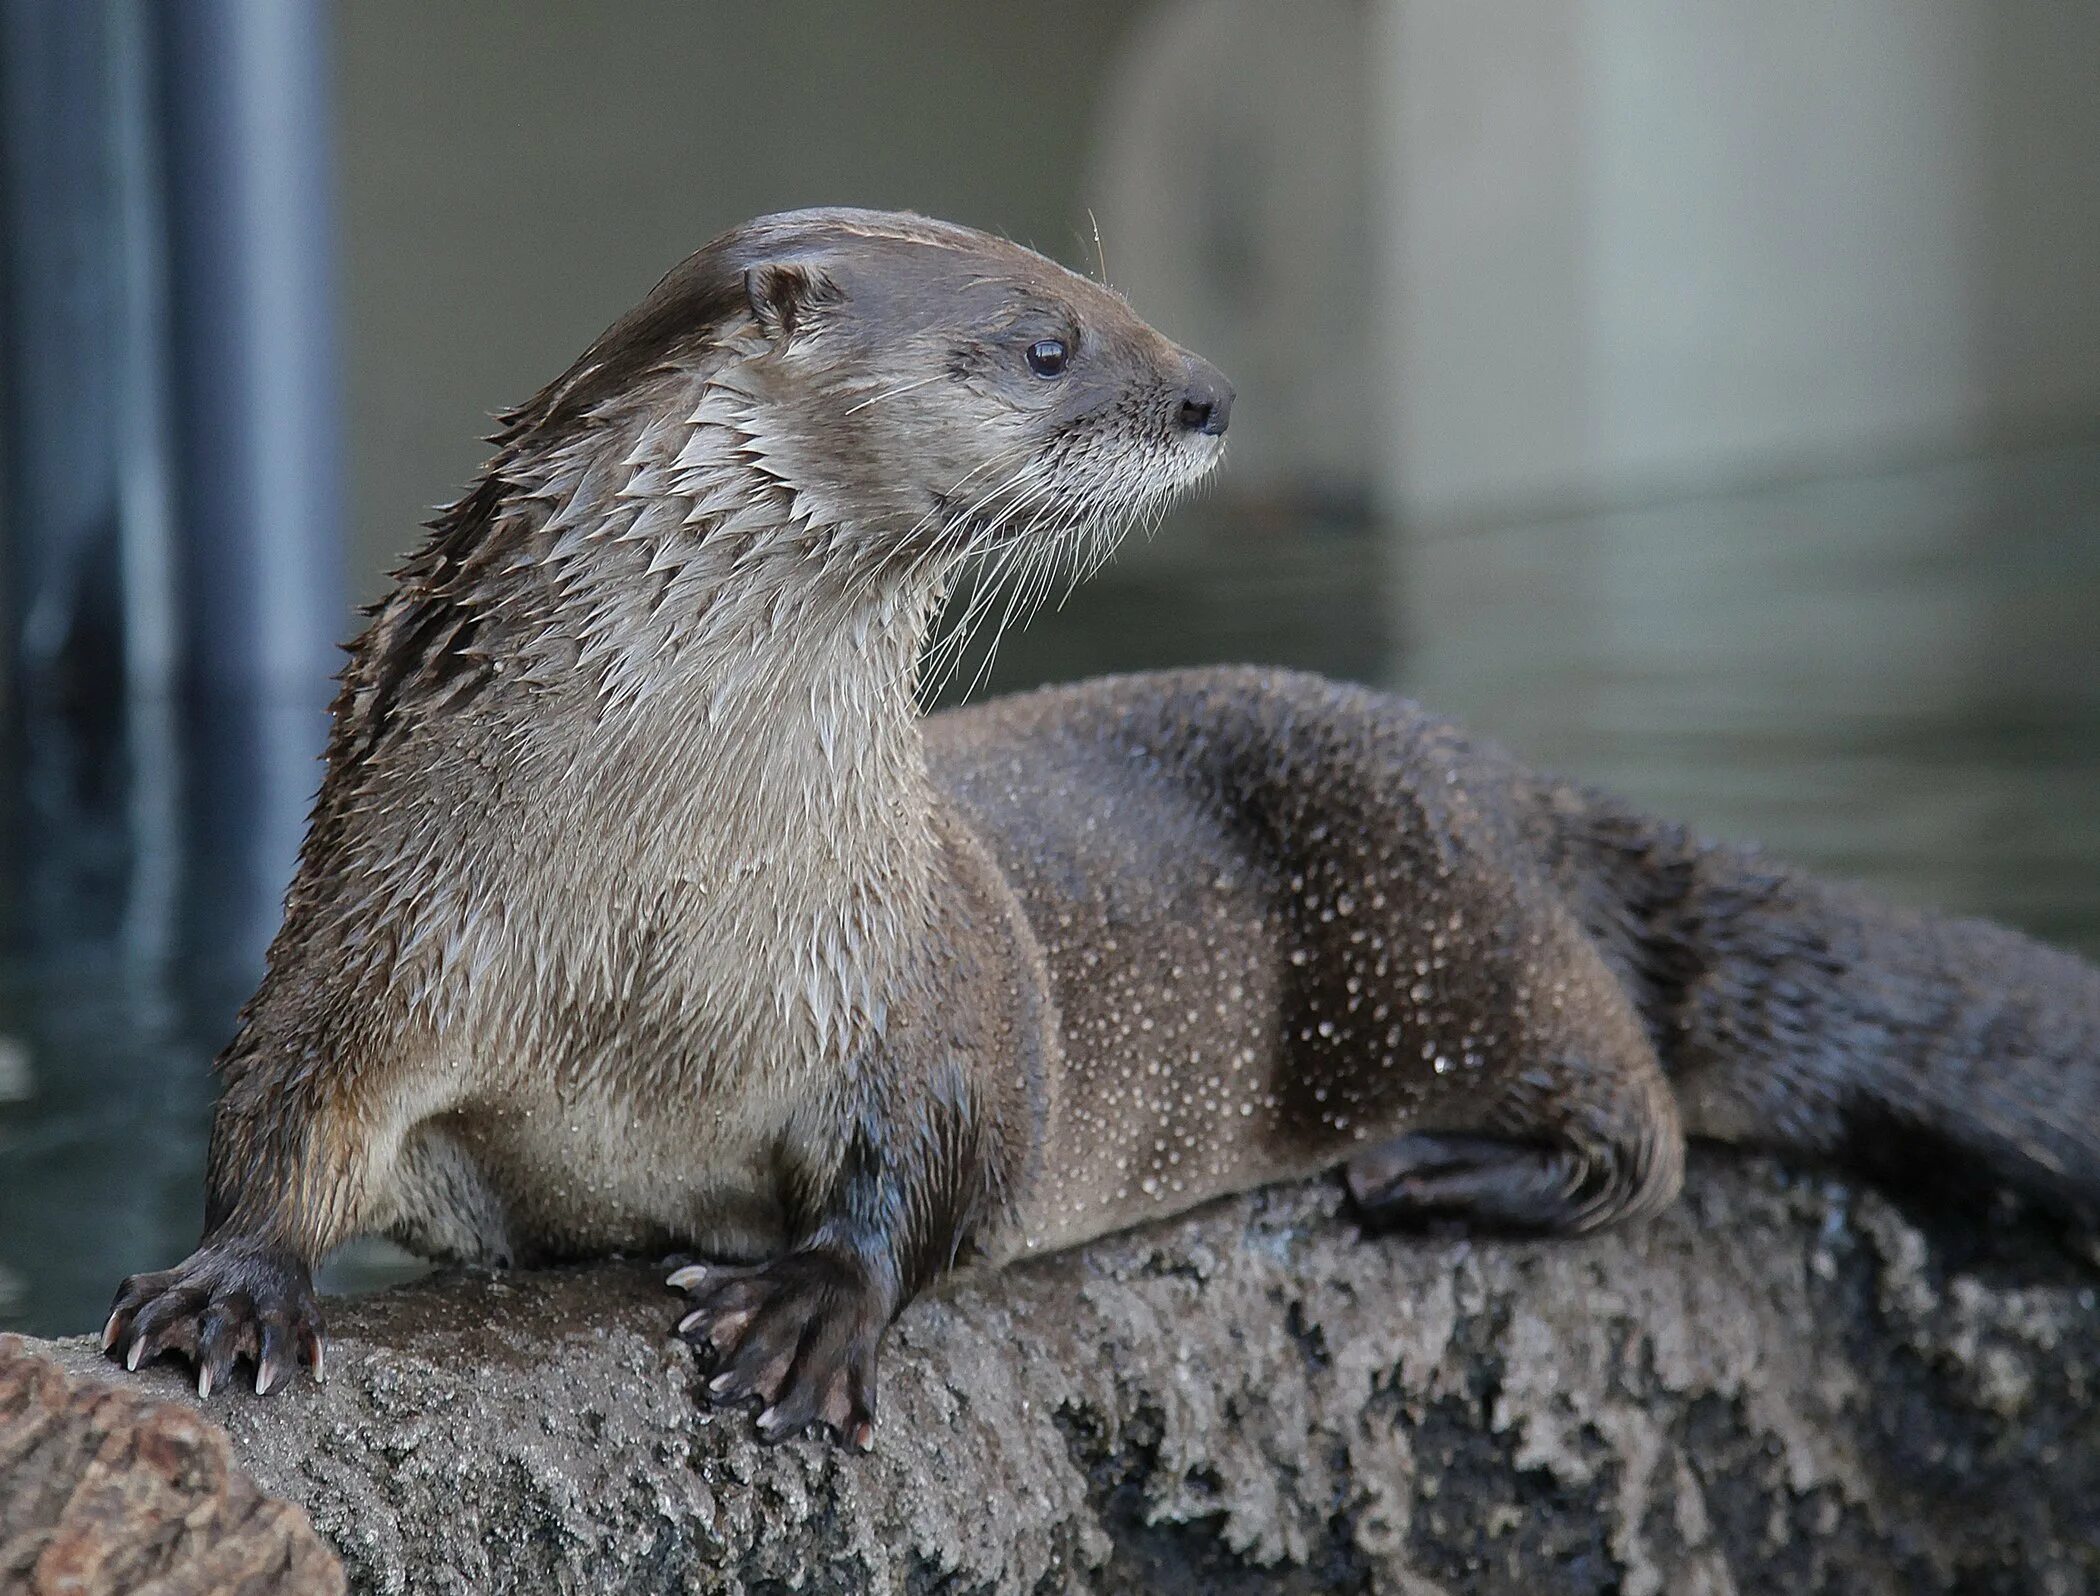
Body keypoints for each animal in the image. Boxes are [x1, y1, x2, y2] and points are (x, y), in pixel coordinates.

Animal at [102, 208, 2100, 1444]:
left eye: (1099, 294)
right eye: (1046, 342)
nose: (1209, 389)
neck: (656, 925)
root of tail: (1499, 773)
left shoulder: (911, 968)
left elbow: (951, 1138)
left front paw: (811, 1304)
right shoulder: (380, 916)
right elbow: (281, 1100)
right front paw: (228, 1287)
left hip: (1458, 929)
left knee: (1645, 1131)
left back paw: (1433, 1175)